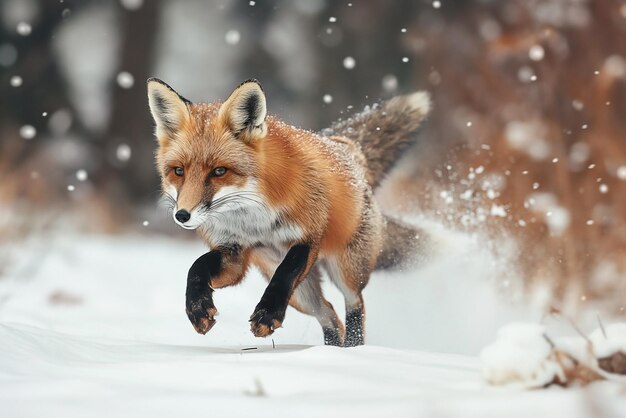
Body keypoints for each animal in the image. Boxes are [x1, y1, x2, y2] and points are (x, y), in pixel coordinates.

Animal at [146, 78, 428, 346]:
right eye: (178, 171)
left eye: (219, 171)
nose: (182, 215)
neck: (253, 220)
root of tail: (349, 150)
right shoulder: (232, 251)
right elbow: (196, 267)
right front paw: (197, 308)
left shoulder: (307, 235)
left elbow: (286, 273)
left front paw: (268, 314)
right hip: (300, 293)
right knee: (329, 315)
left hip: (345, 270)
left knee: (354, 303)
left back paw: (354, 347)